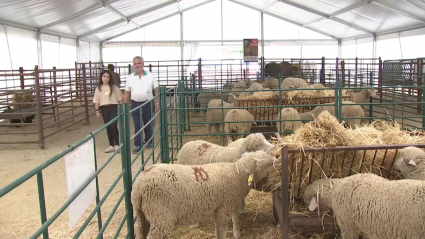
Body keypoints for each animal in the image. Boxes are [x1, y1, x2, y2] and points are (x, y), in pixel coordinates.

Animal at [133, 151, 278, 239]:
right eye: (266, 163)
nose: (276, 158)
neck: (237, 173)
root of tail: (139, 185)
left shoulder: (217, 210)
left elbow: (218, 231)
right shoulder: (223, 209)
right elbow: (223, 232)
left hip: (143, 216)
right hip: (160, 216)